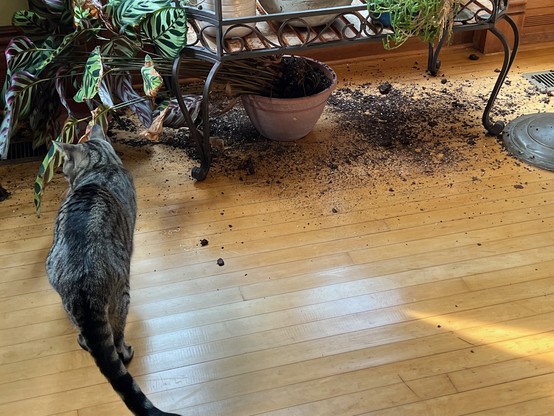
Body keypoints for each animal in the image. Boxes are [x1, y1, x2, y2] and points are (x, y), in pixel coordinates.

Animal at [45, 124, 179, 416]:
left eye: (64, 168)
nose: (64, 177)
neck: (102, 165)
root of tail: (82, 279)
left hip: (66, 300)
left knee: (87, 336)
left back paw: (84, 341)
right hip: (122, 295)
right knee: (116, 337)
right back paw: (125, 351)